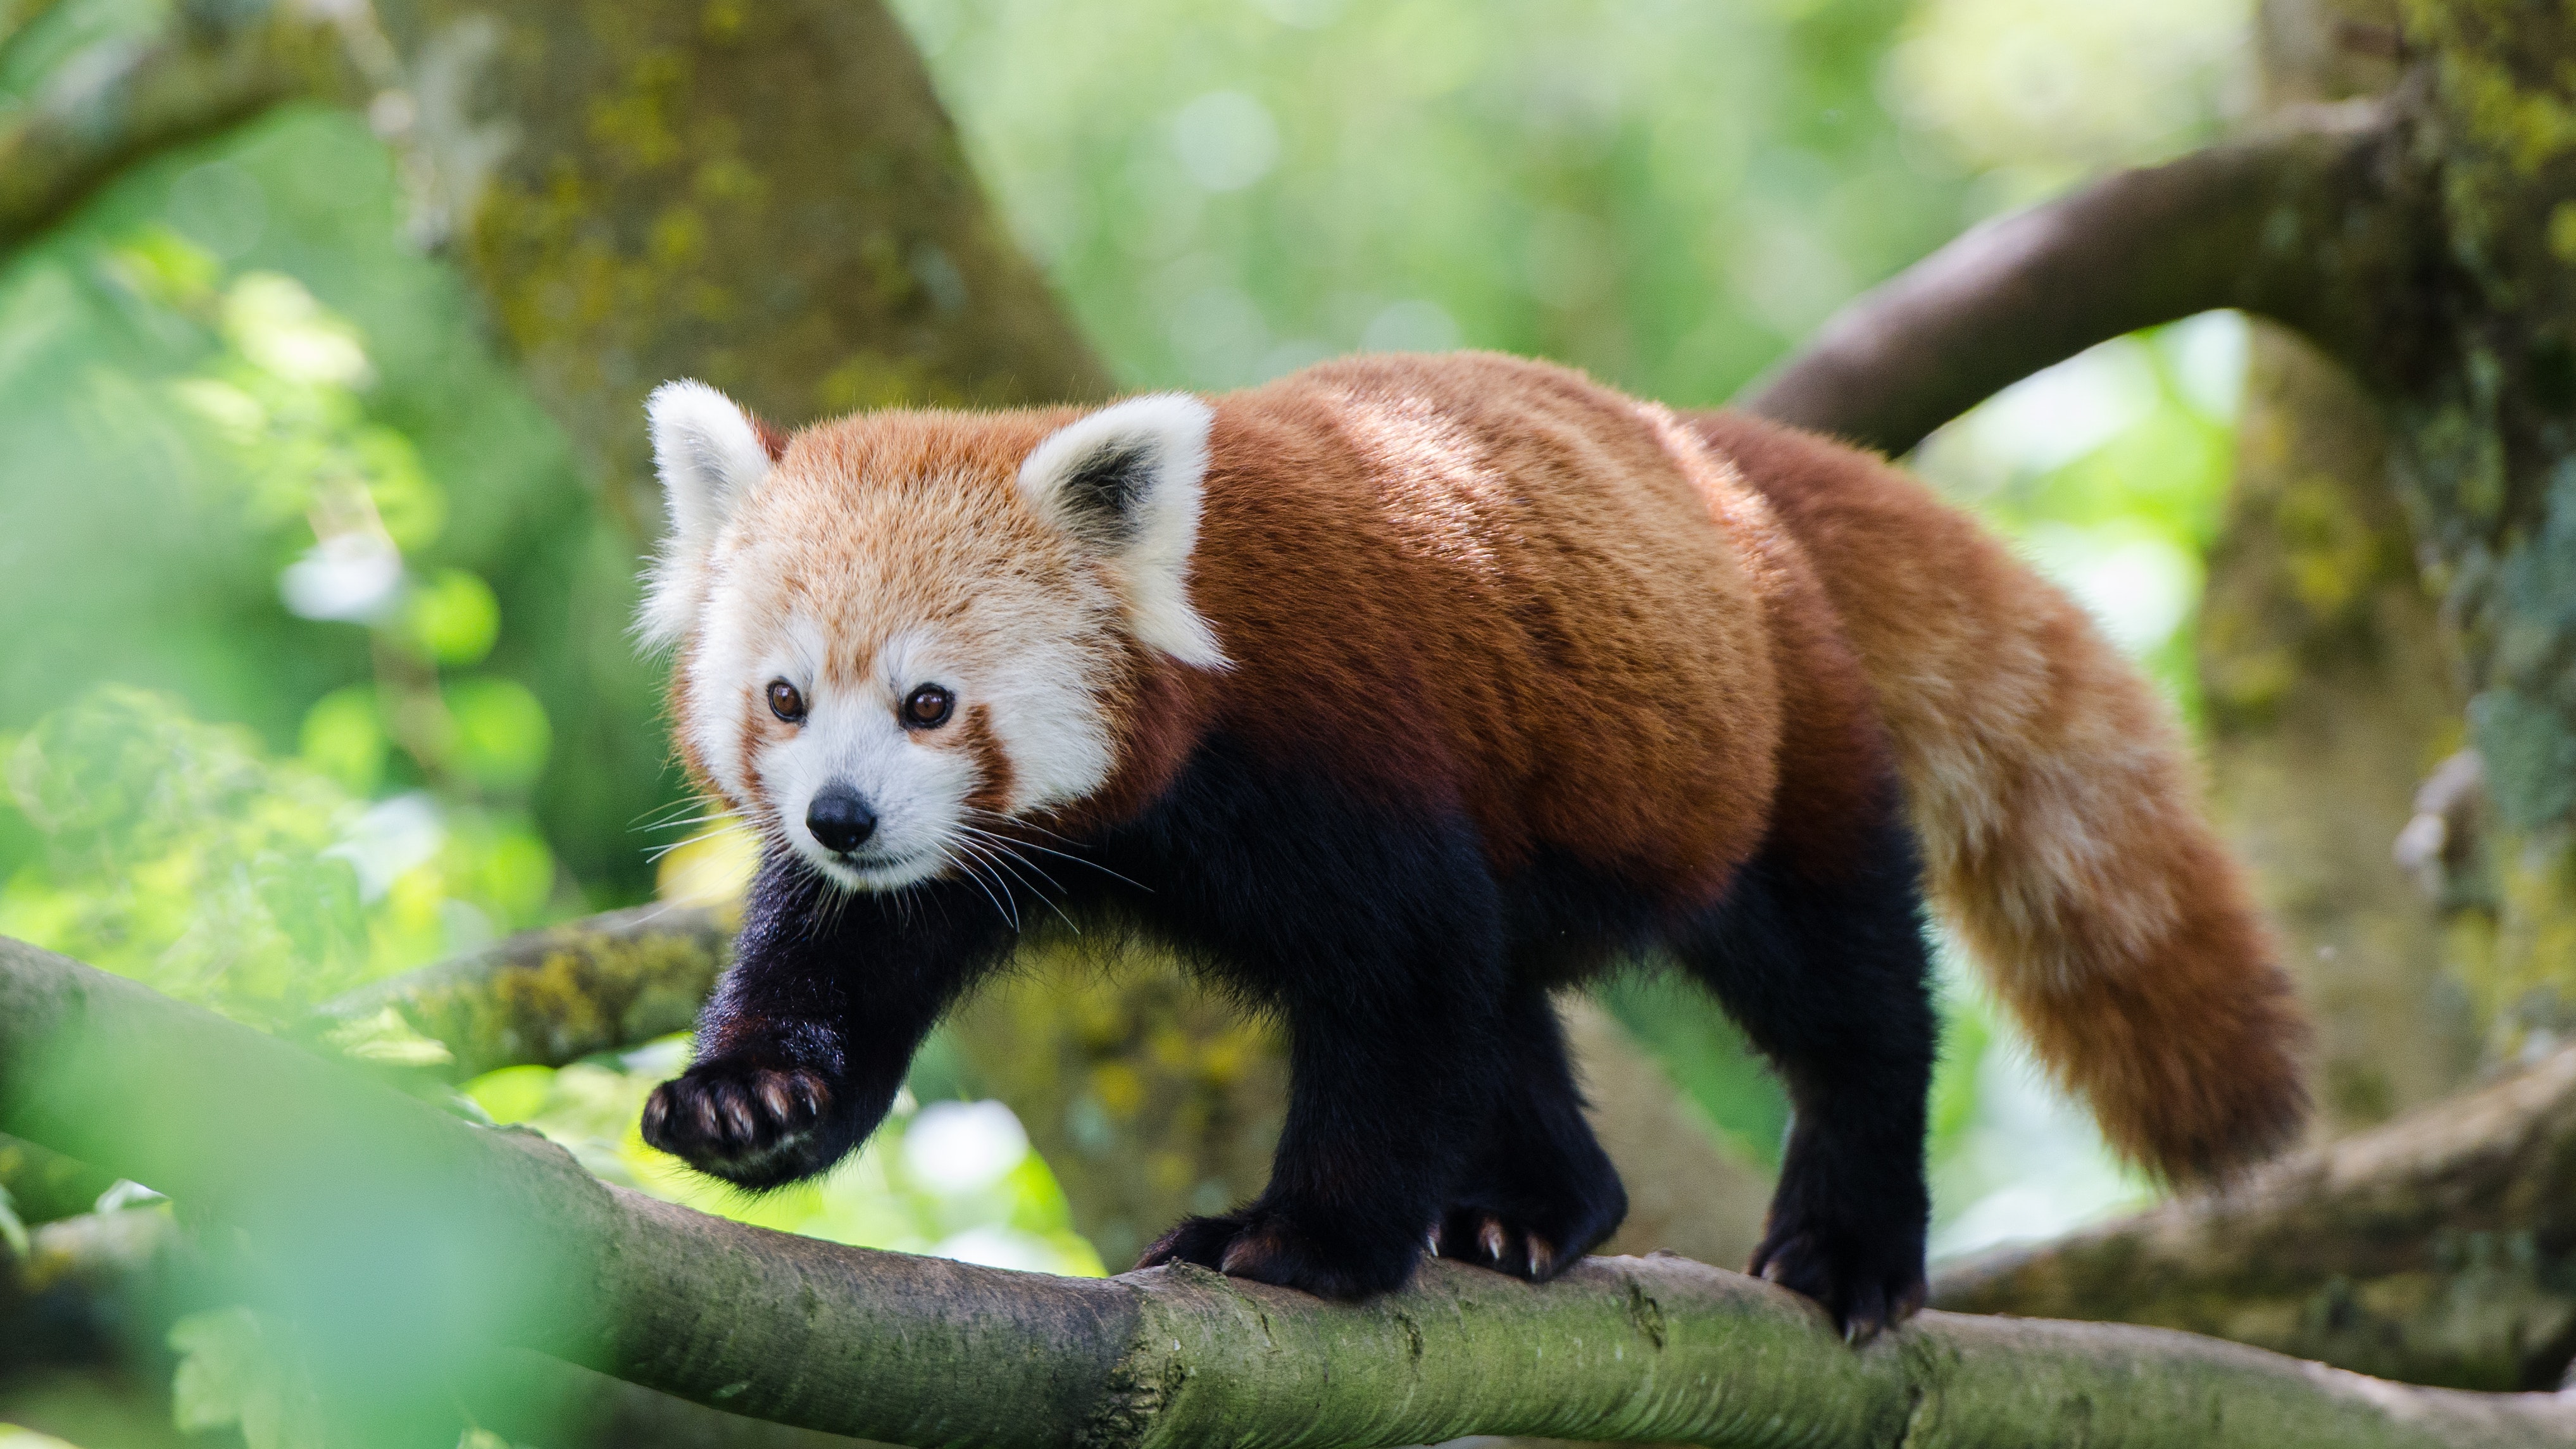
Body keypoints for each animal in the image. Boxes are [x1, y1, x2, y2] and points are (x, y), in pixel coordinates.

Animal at [639, 348, 2318, 1330]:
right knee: (1509, 1007)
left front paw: (1306, 1242)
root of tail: (1703, 459)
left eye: (930, 702)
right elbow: (844, 966)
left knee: (1836, 989)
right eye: (786, 698)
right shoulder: (956, 864)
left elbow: (1397, 992)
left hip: (1752, 757)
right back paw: (1536, 1212)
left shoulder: (1337, 758)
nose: (842, 814)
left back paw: (1848, 1242)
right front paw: (752, 1102)